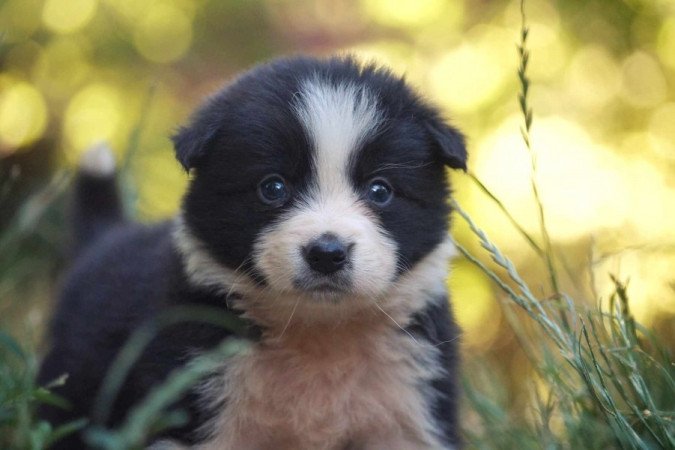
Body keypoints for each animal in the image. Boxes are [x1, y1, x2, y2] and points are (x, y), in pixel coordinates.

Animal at [39, 56, 468, 450]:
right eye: (272, 187)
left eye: (380, 190)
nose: (327, 253)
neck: (320, 332)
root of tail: (106, 236)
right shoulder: (194, 404)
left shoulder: (411, 404)